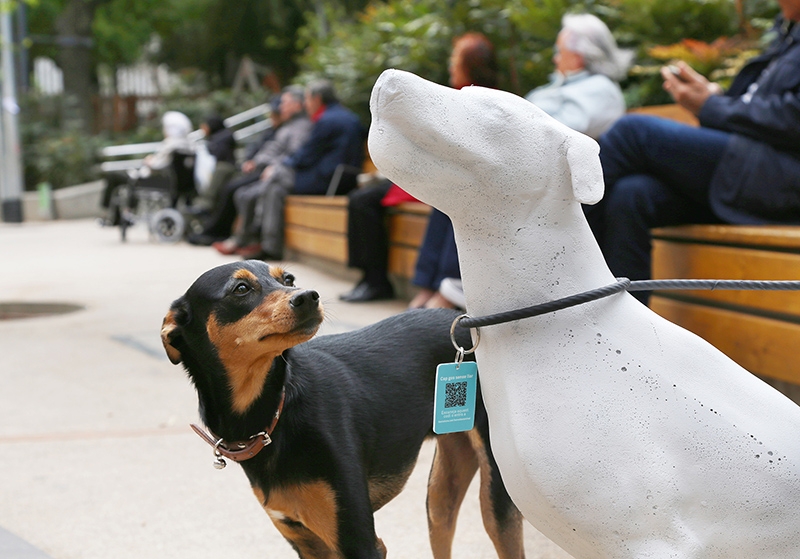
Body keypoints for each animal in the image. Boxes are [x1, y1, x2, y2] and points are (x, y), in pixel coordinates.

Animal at [162, 262, 524, 559]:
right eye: (240, 289)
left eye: (288, 279)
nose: (308, 297)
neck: (277, 413)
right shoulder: (308, 543)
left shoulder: (360, 543)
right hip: (440, 496)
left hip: (497, 496)